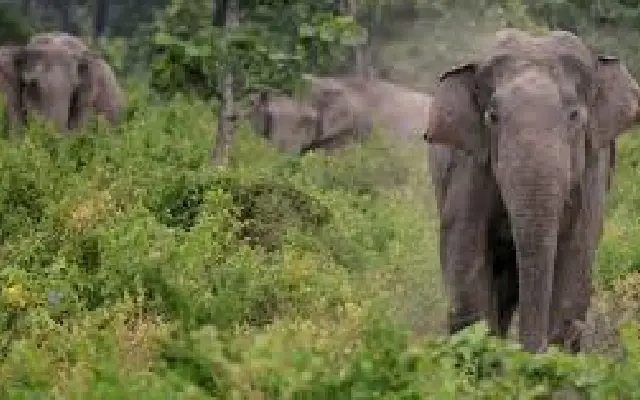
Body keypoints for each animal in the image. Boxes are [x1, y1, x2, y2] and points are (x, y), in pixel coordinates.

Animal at [423, 28, 640, 353]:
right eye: (492, 117)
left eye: (575, 116)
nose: (530, 352)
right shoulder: (470, 165)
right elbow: (465, 249)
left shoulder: (593, 166)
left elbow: (578, 251)